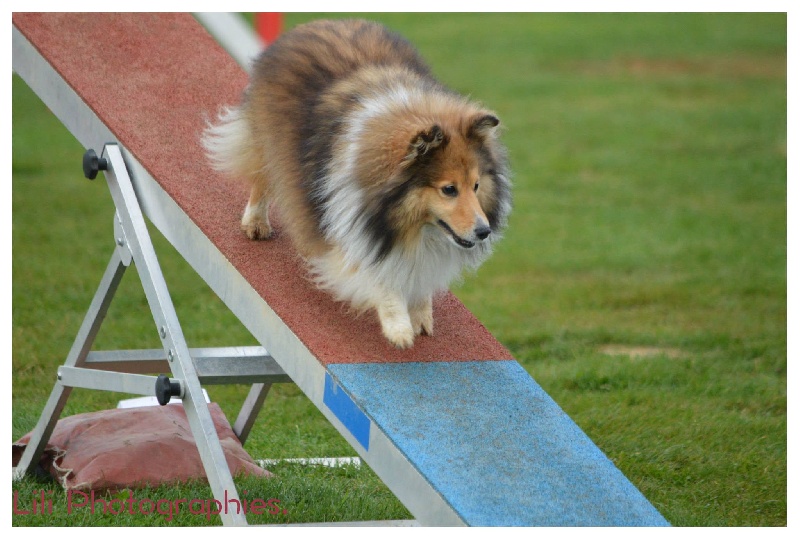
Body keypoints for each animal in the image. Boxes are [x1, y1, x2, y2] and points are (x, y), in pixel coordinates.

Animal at [203, 19, 510, 348]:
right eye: (449, 189)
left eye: (476, 186)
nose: (484, 231)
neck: (411, 226)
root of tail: (316, 23)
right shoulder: (345, 225)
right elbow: (376, 276)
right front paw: (398, 327)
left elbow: (420, 274)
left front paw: (420, 314)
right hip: (271, 140)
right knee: (262, 175)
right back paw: (256, 223)